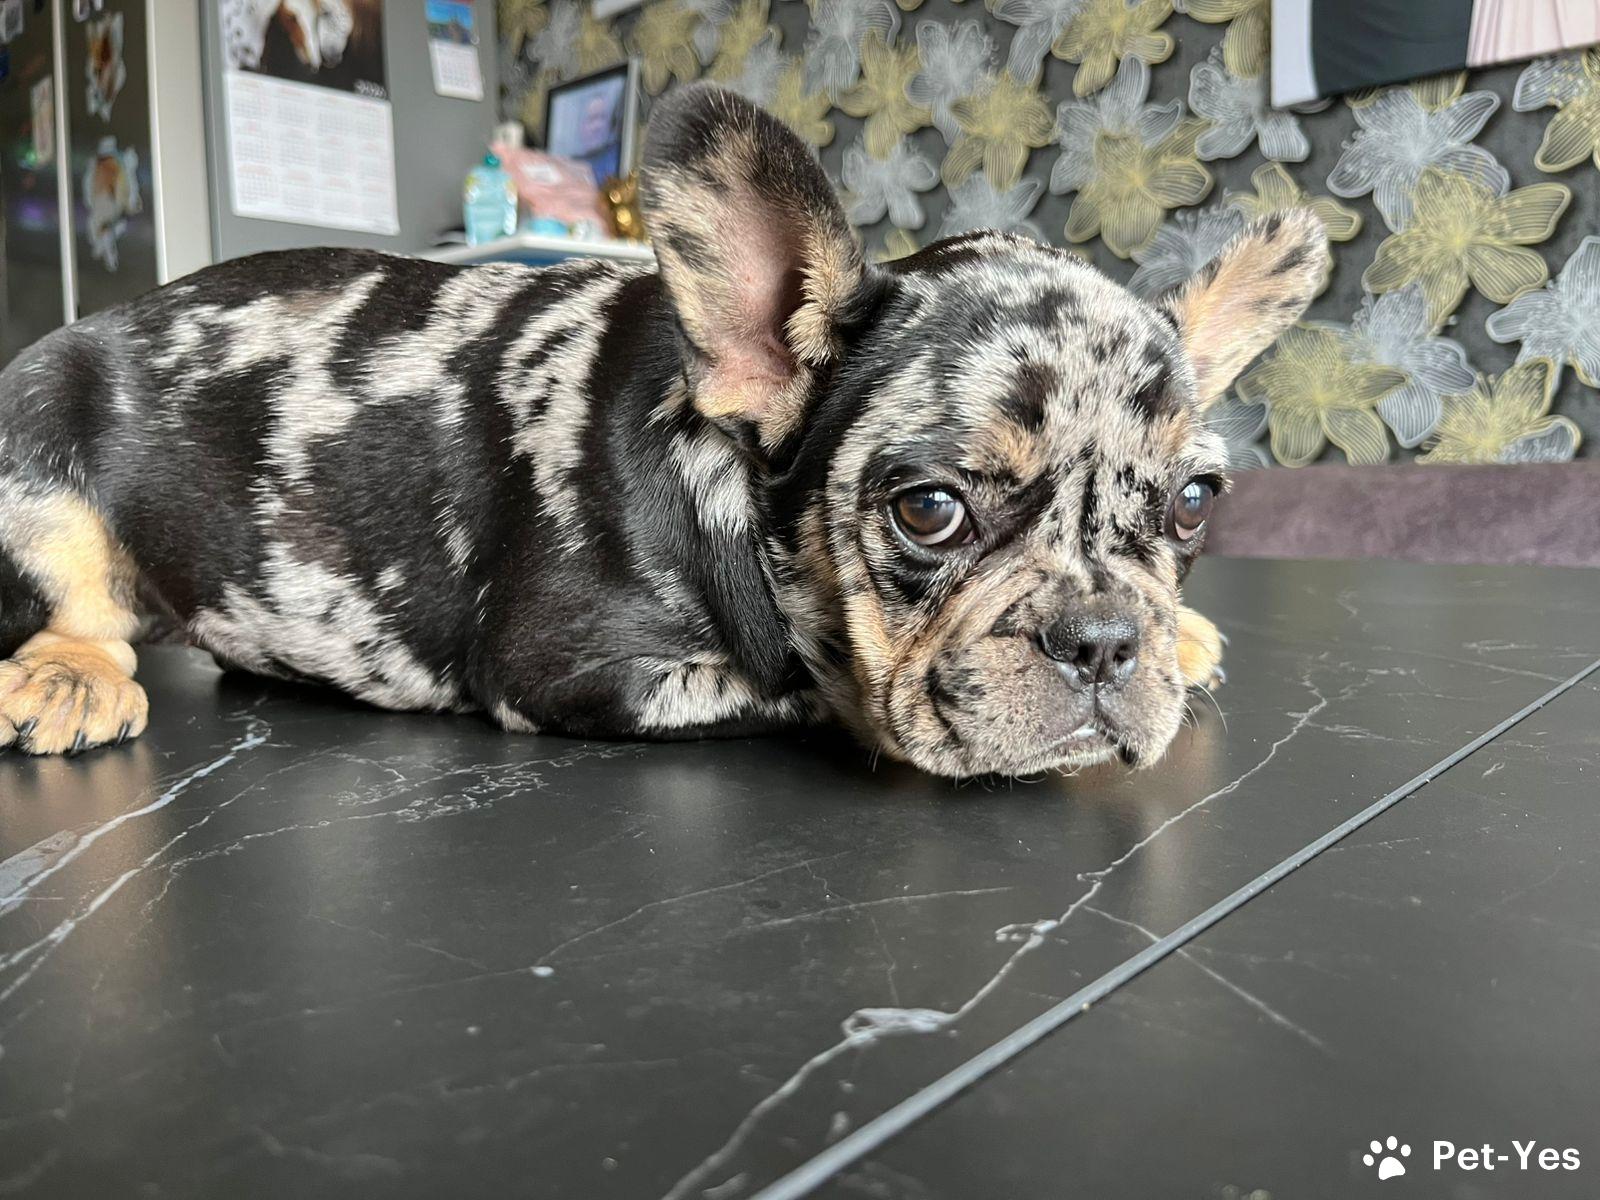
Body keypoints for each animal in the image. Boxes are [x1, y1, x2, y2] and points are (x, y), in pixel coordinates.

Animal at [0, 85, 1327, 778]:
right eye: (930, 510)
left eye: (1193, 504)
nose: (1105, 640)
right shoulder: (586, 671)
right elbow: (801, 686)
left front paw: (1180, 631)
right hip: (34, 444)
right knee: (74, 605)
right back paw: (69, 676)